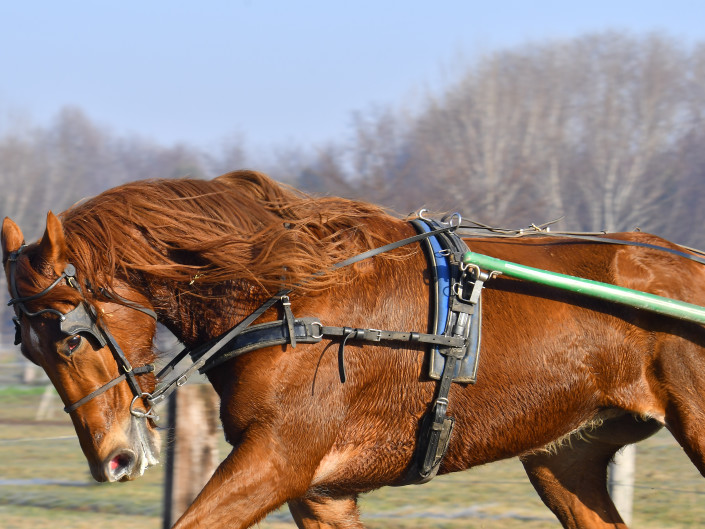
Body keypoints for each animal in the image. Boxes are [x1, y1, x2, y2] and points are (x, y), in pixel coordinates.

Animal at [2, 171, 700, 524]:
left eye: (70, 340)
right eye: (29, 353)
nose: (112, 460)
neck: (293, 299)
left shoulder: (279, 459)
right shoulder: (321, 491)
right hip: (565, 456)